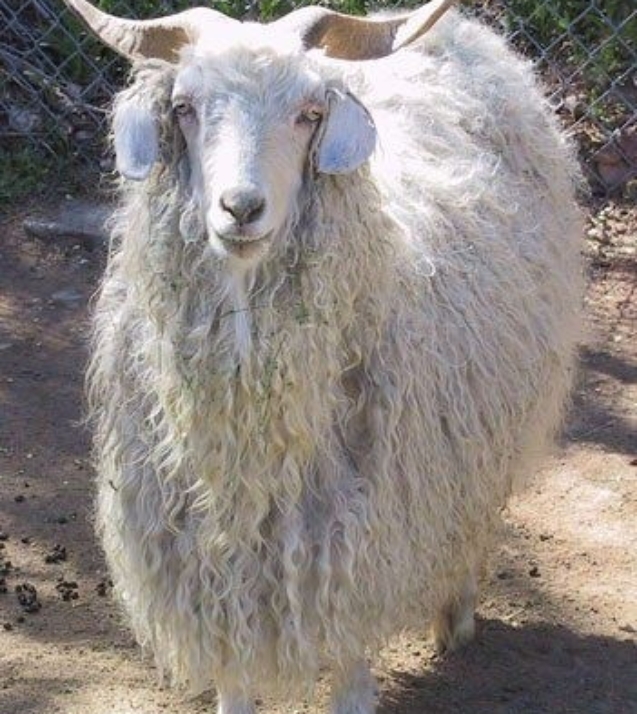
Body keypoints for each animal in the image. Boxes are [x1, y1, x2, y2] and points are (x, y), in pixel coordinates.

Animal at [64, 0, 583, 712]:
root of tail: (471, 35)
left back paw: (457, 617)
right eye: (185, 108)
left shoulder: (355, 534)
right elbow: (233, 663)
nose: (241, 209)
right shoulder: (210, 554)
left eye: (309, 112)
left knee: (472, 523)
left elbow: (349, 649)